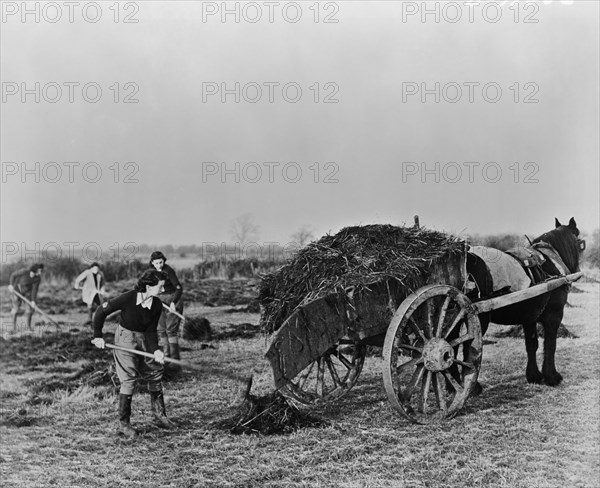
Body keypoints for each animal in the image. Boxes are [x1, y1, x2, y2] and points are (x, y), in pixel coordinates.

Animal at [464, 216, 584, 386]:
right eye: (579, 242)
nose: (578, 271)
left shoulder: (530, 318)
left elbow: (532, 344)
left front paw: (534, 375)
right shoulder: (554, 315)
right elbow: (550, 344)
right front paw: (552, 376)